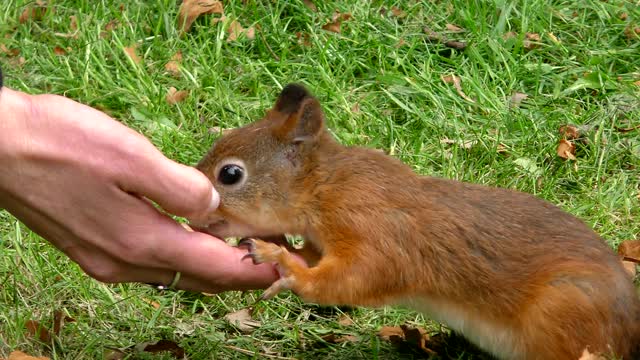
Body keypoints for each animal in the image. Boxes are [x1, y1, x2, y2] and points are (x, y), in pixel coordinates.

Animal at [192, 84, 640, 360]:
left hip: (566, 313)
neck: (325, 189)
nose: (195, 216)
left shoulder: (376, 231)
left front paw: (282, 263)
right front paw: (285, 248)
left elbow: (352, 279)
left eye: (230, 174)